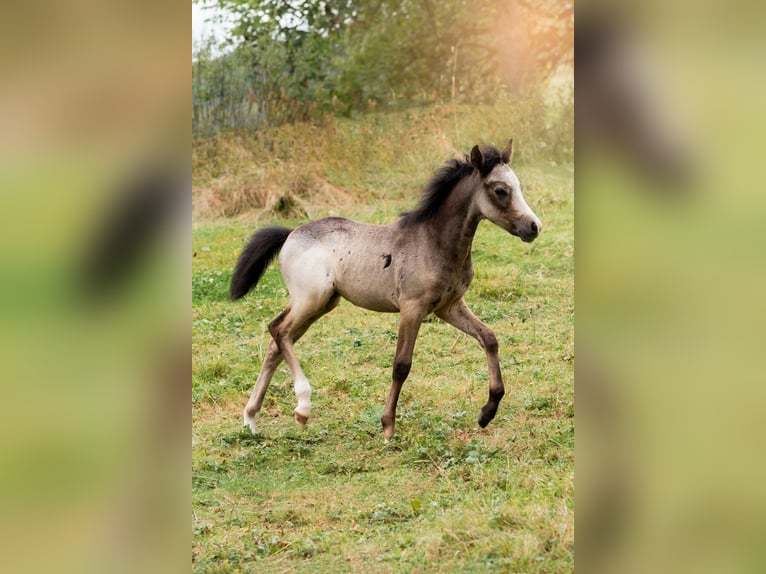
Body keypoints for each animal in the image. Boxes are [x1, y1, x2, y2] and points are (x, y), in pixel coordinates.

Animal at [232, 142, 540, 438]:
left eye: (519, 185)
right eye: (500, 190)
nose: (534, 226)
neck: (434, 242)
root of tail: (291, 233)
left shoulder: (449, 307)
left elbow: (489, 338)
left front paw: (487, 412)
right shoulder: (412, 308)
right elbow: (401, 364)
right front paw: (388, 425)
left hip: (321, 304)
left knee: (276, 343)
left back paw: (251, 419)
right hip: (311, 300)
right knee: (279, 330)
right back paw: (302, 408)